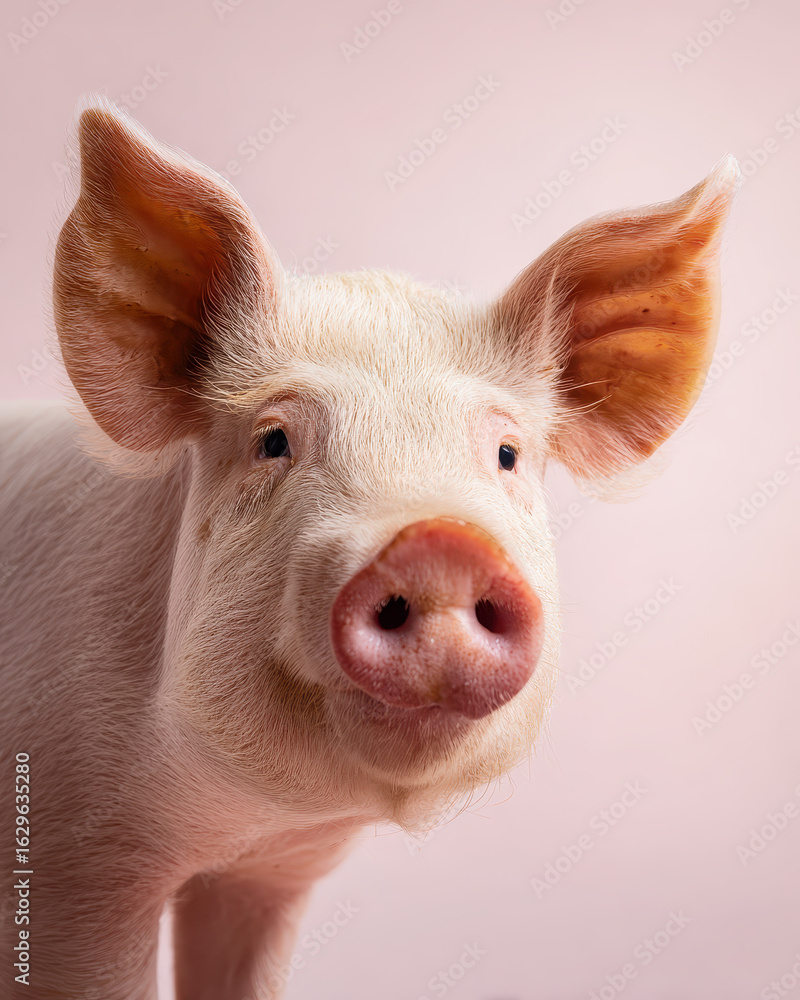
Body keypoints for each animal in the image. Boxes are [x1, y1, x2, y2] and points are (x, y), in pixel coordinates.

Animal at [0, 96, 739, 1000]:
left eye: (507, 454)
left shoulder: (271, 875)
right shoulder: (76, 869)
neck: (232, 821)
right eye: (274, 441)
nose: (440, 542)